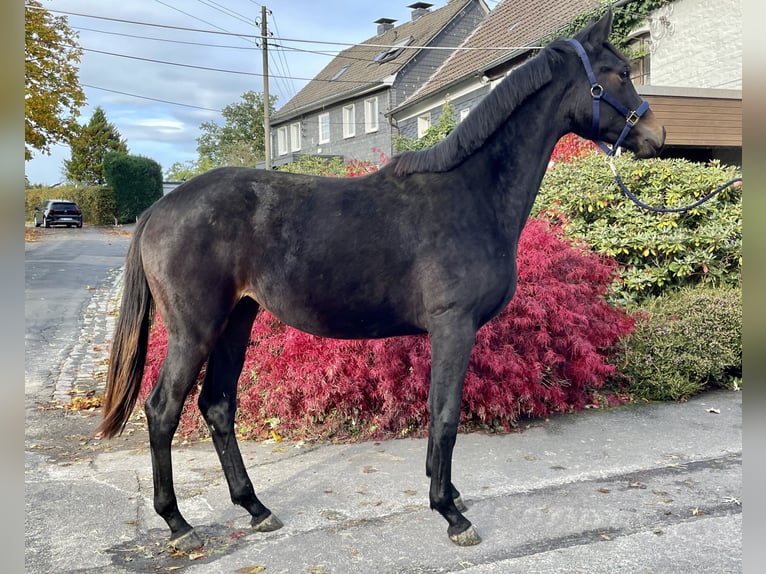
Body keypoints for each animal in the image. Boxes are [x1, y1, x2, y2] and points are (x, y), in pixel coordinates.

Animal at [100, 10, 664, 548]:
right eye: (618, 73)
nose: (655, 136)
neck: (471, 192)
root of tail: (159, 208)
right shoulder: (453, 326)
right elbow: (444, 415)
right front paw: (450, 512)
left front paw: (449, 493)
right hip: (193, 330)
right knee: (163, 410)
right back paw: (178, 523)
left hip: (236, 320)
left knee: (218, 405)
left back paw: (256, 508)